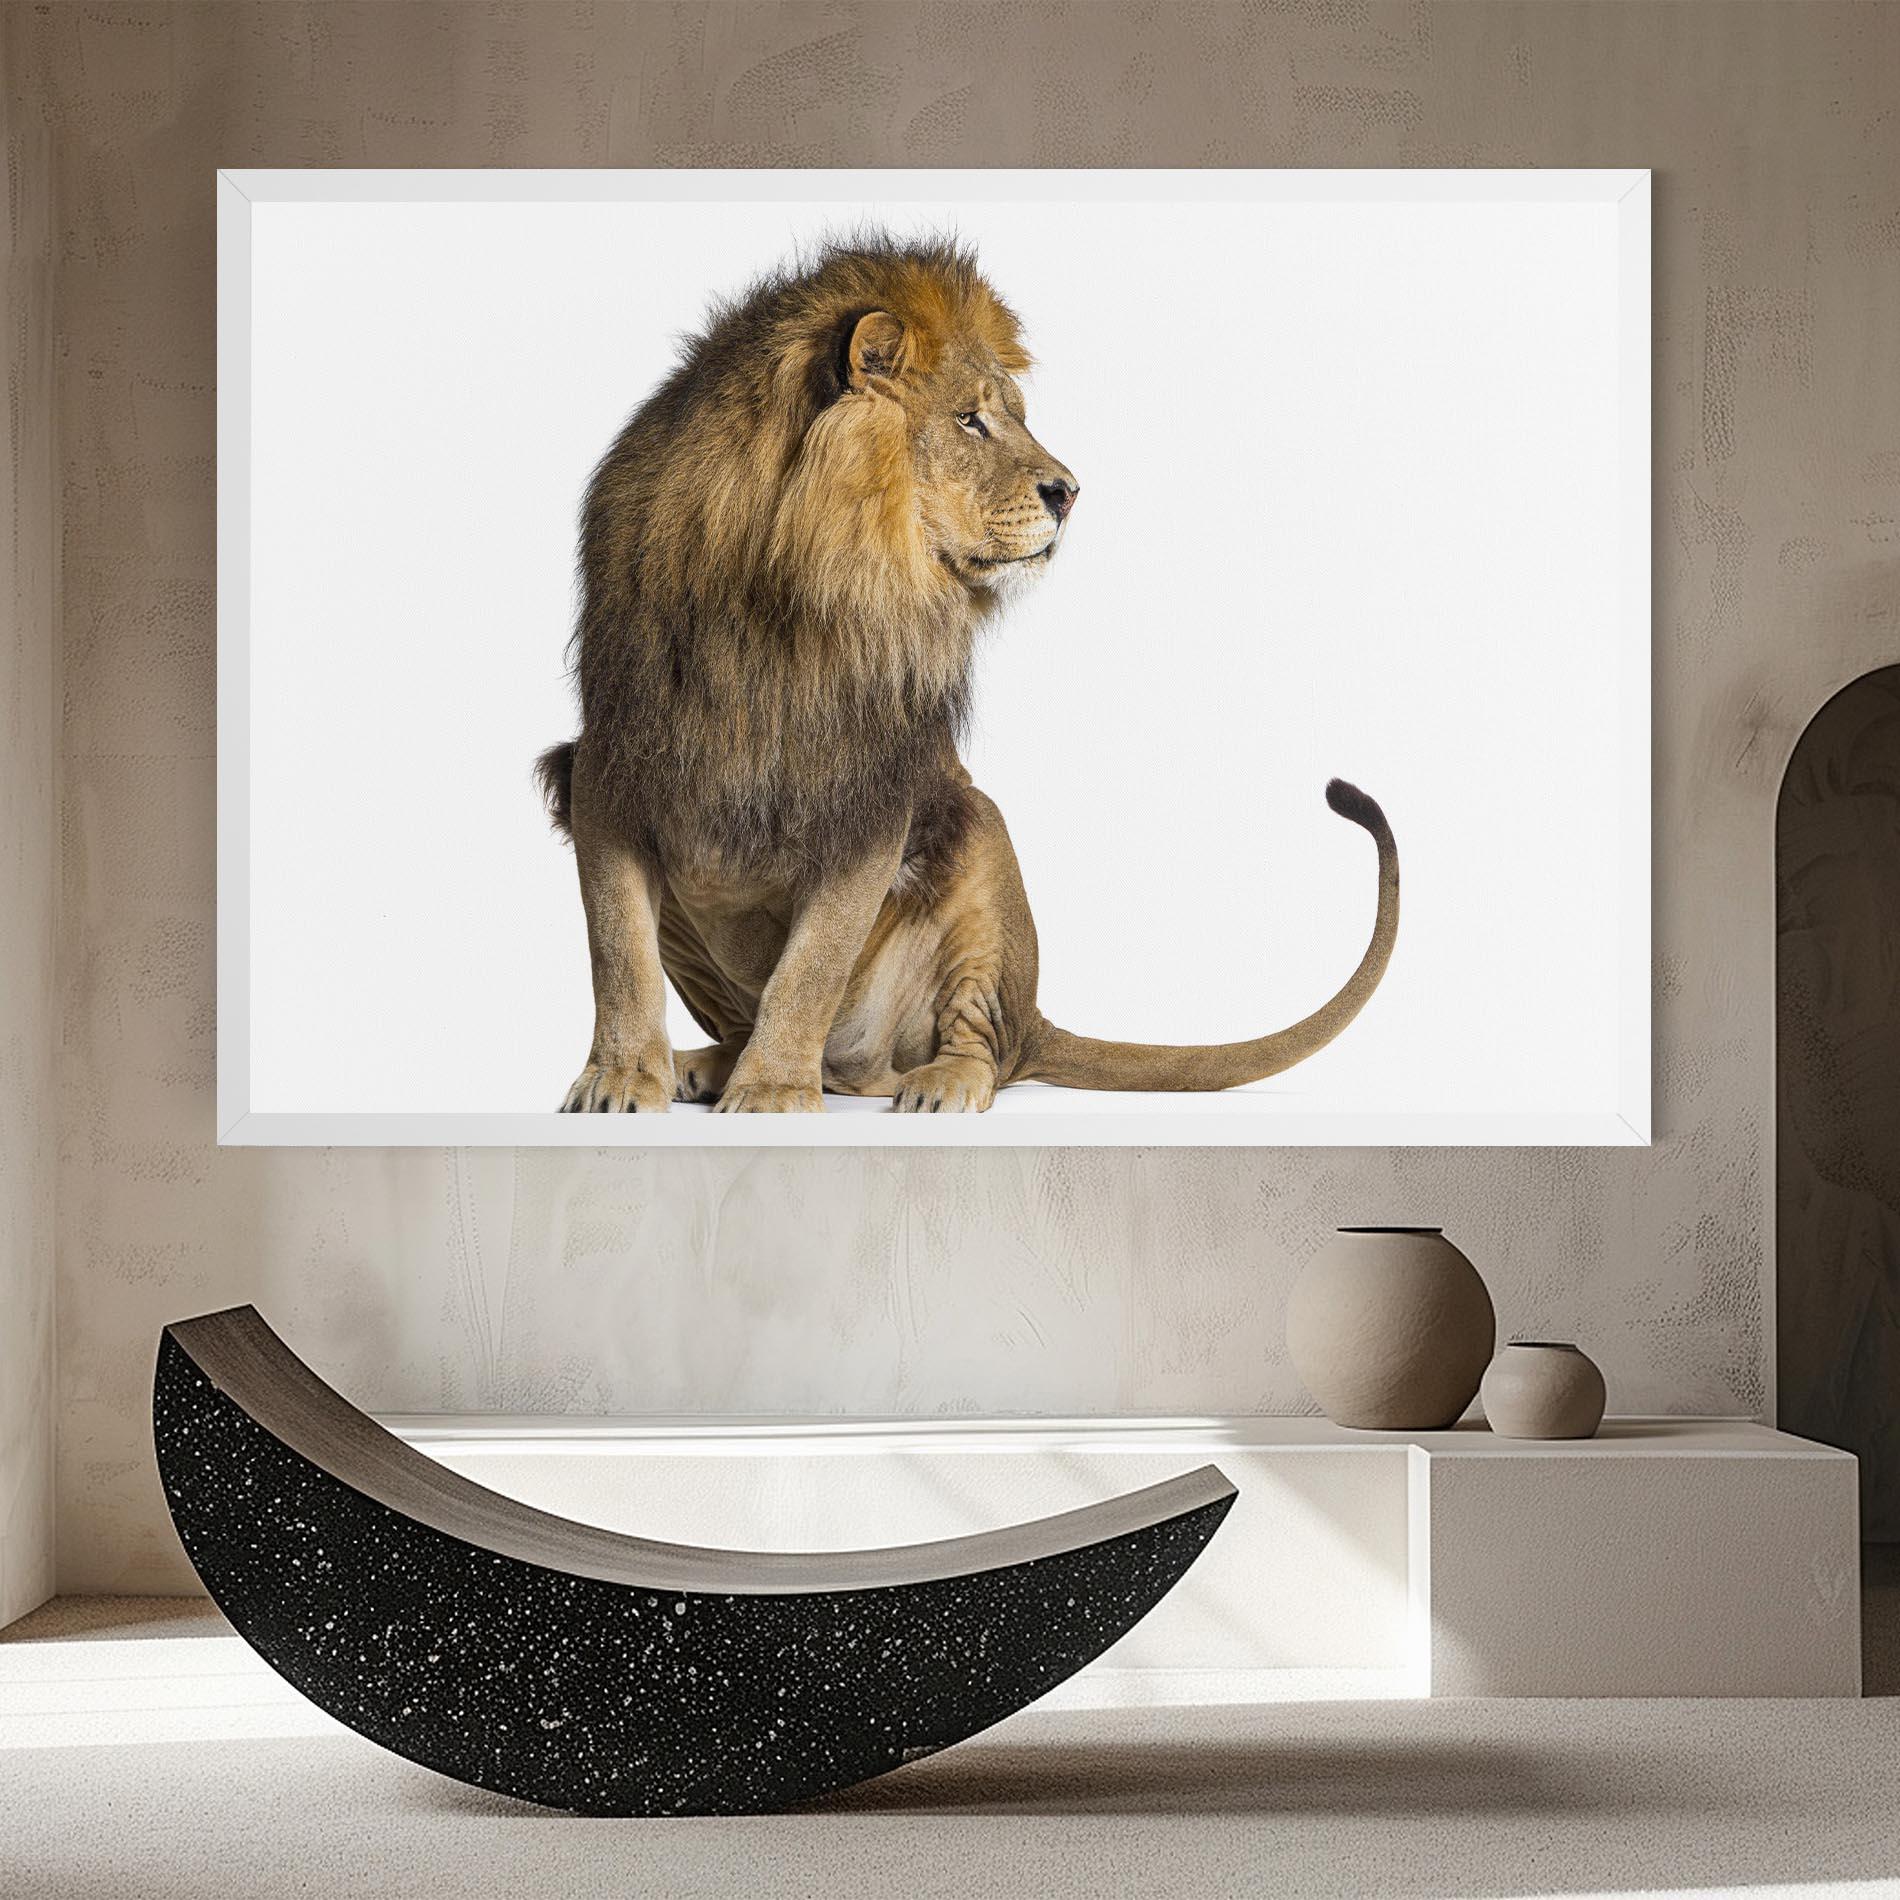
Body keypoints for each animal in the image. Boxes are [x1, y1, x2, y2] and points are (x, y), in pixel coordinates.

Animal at [536, 235, 1398, 1113]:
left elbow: (810, 967)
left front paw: (774, 1089)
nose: (1071, 493)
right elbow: (619, 951)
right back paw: (708, 1065)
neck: (783, 596)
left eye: (1012, 416)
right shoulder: (607, 766)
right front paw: (621, 1077)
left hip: (979, 843)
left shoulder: (873, 794)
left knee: (981, 1044)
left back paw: (931, 1081)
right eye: (970, 420)